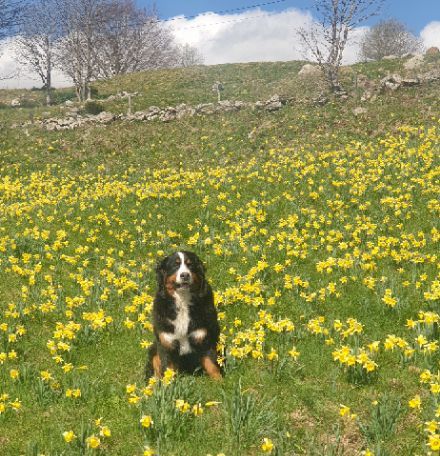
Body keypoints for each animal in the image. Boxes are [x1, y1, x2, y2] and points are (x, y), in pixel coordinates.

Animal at [146, 251, 222, 380]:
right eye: (175, 265)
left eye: (190, 265)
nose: (185, 275)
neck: (183, 301)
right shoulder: (166, 343)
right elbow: (167, 370)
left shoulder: (205, 338)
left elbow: (212, 365)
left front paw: (220, 382)